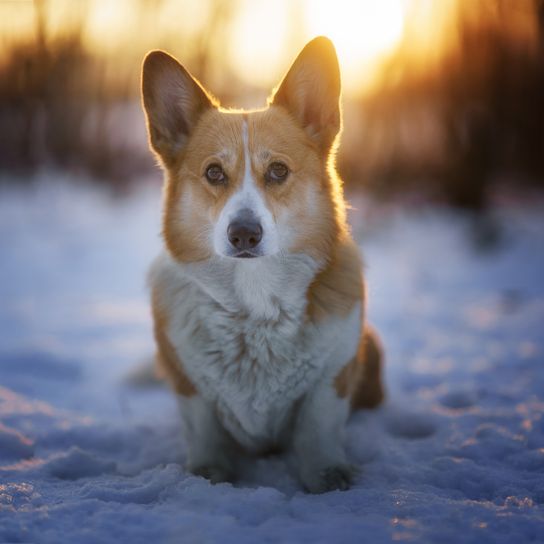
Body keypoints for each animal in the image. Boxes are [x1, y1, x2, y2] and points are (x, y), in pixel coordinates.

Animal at [142, 35, 384, 492]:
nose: (244, 235)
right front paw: (208, 475)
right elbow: (204, 431)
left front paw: (327, 477)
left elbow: (319, 426)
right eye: (214, 173)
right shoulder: (190, 387)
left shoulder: (332, 379)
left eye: (278, 171)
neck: (253, 308)